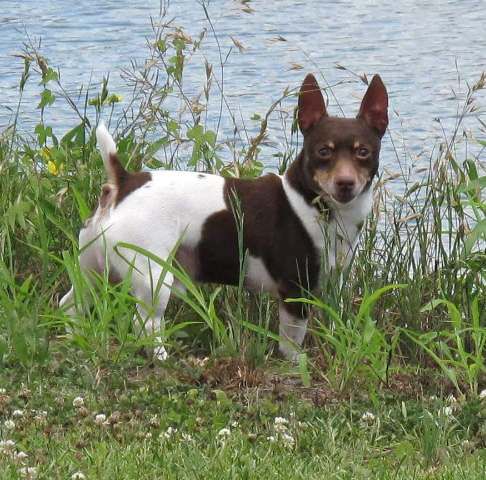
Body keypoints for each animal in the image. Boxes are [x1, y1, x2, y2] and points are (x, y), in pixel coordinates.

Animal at [59, 73, 388, 360]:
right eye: (323, 152)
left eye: (363, 152)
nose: (345, 183)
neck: (311, 203)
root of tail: (123, 183)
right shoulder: (295, 294)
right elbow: (291, 342)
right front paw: (296, 364)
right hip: (153, 278)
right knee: (147, 325)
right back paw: (163, 358)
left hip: (90, 269)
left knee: (71, 305)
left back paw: (75, 339)